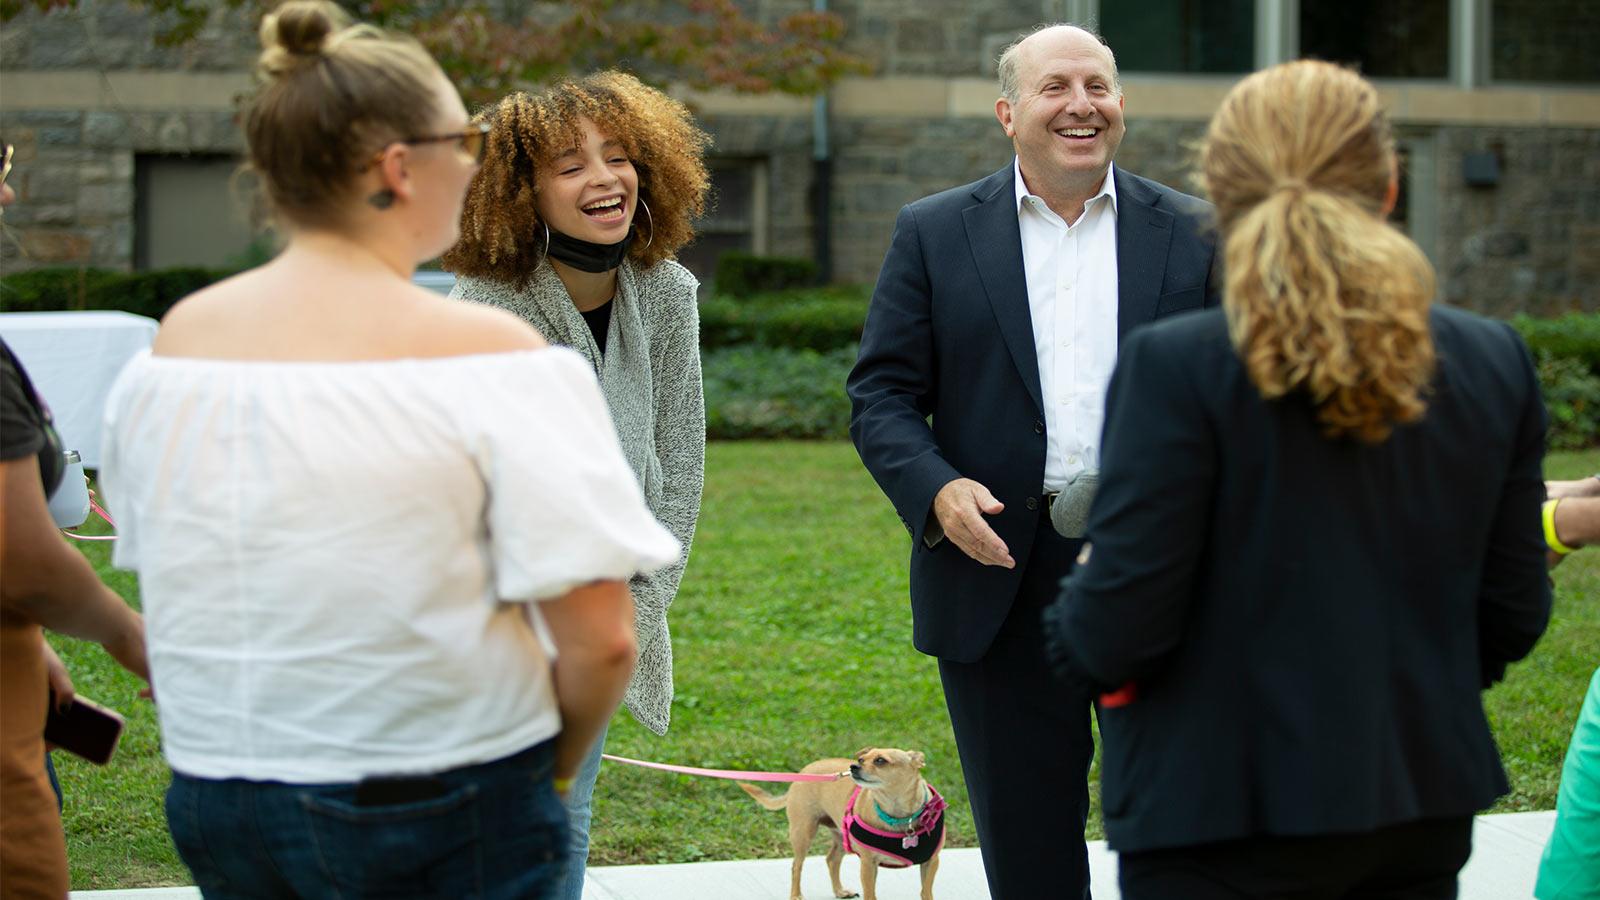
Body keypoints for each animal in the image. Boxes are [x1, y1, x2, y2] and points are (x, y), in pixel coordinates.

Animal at [739, 743, 947, 896]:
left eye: (880, 761)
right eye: (861, 759)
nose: (853, 766)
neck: (899, 814)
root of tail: (803, 772)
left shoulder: (931, 862)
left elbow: (926, 892)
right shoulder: (868, 864)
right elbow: (870, 894)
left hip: (840, 836)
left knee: (832, 860)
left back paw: (839, 891)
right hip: (803, 833)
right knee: (796, 866)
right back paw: (796, 895)